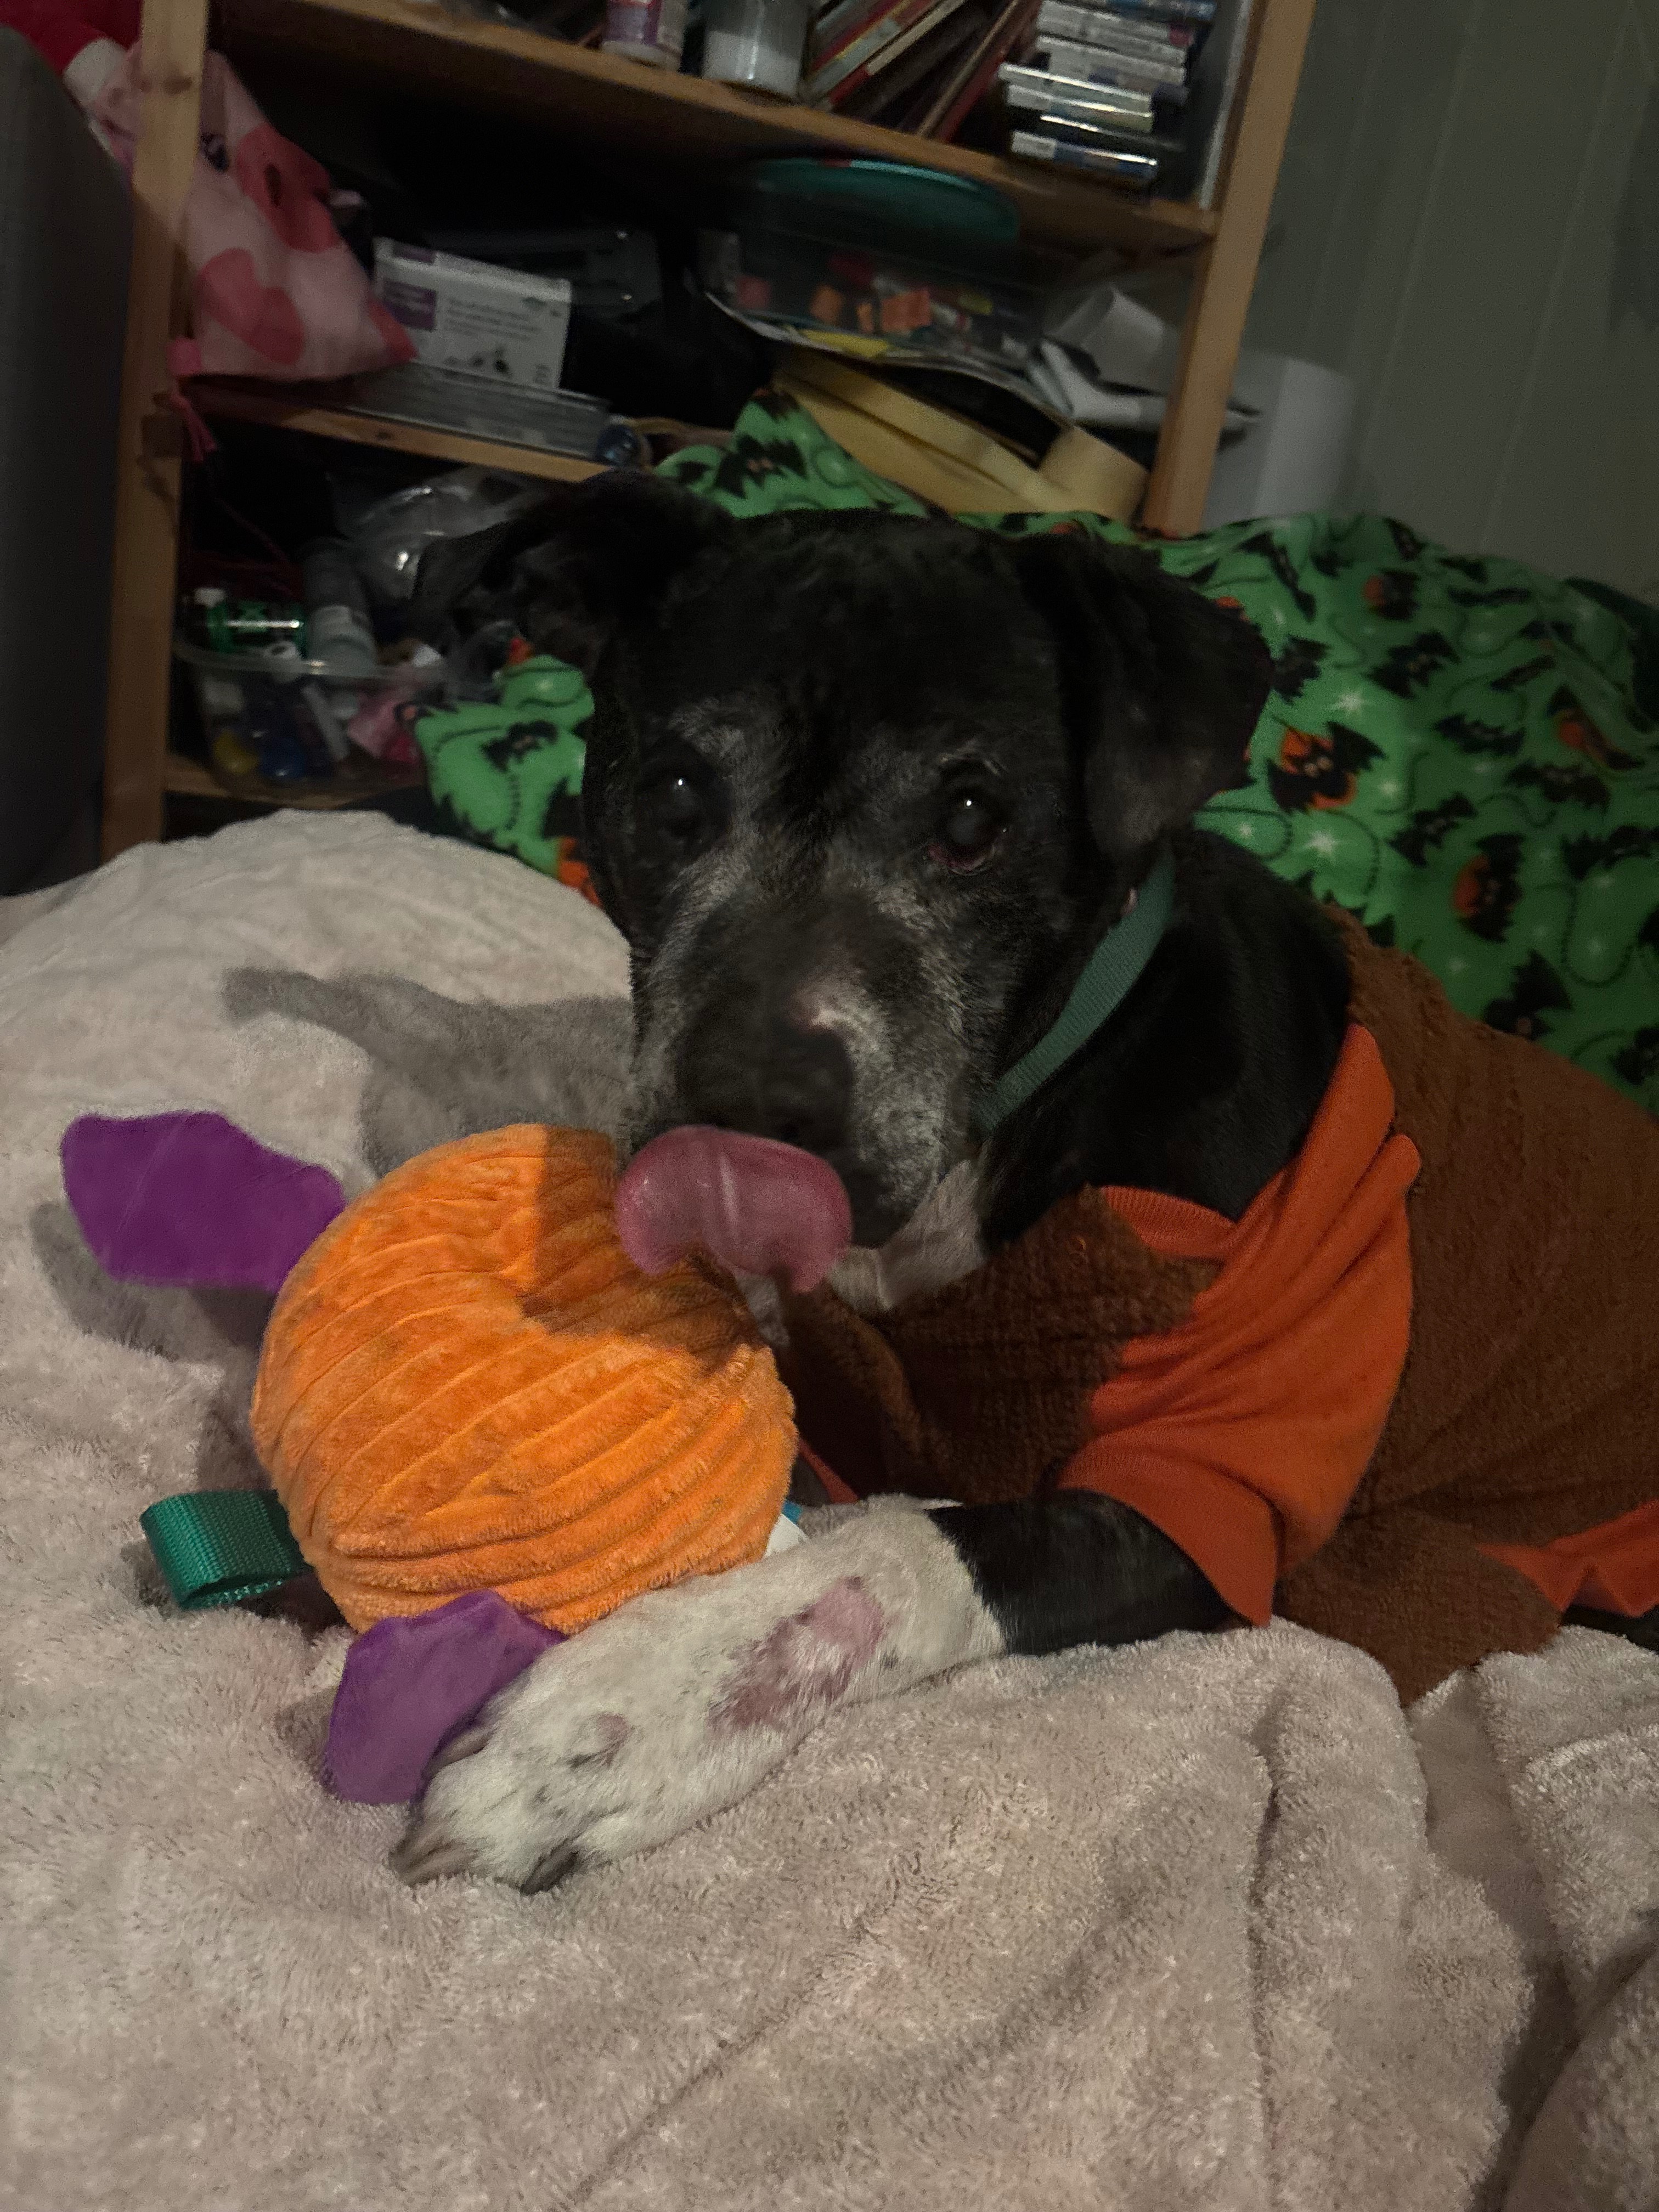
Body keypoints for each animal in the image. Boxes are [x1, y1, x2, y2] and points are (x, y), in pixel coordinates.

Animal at [393, 478, 1659, 1891]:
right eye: (673, 791)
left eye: (969, 820)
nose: (751, 1106)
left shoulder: (1207, 1494)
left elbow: (906, 1545)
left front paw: (629, 1714)